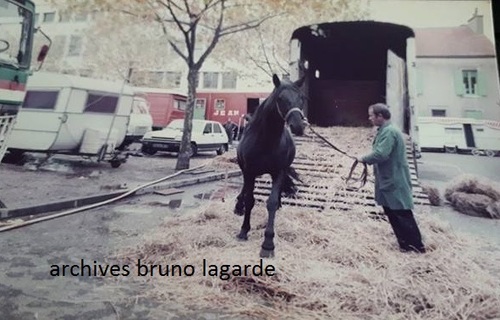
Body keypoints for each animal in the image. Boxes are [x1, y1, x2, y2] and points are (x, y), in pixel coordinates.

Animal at [235, 74, 308, 258]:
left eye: (301, 98)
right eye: (280, 98)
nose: (298, 126)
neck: (265, 140)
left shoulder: (278, 172)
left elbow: (272, 203)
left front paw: (268, 244)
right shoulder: (250, 172)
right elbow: (250, 199)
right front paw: (244, 231)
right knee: (244, 189)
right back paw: (238, 206)